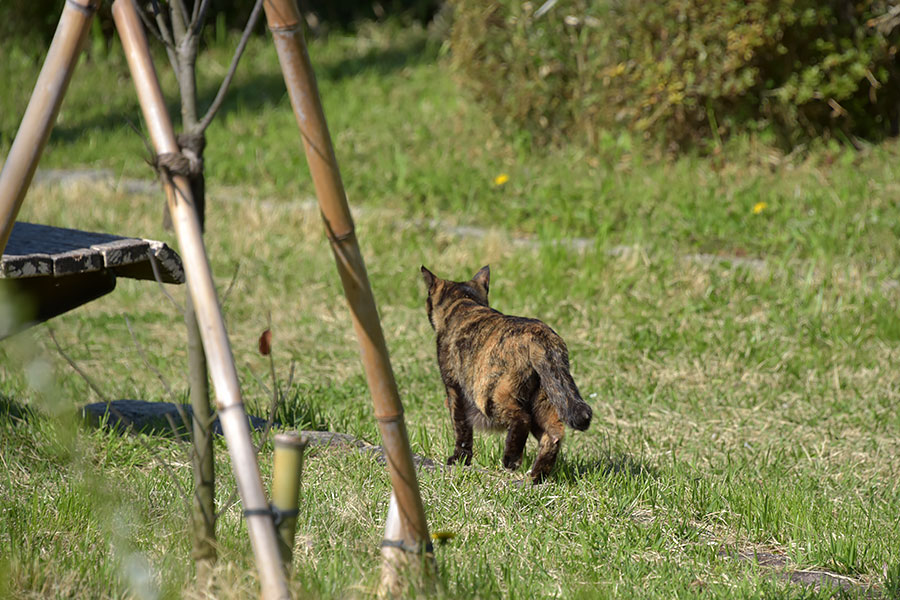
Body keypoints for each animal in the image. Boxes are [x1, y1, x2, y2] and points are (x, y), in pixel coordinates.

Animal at [420, 264, 592, 480]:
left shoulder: (454, 388)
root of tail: (540, 336)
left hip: (490, 396)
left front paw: (459, 459)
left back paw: (511, 460)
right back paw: (536, 476)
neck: (464, 302)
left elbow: (461, 428)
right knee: (554, 434)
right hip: (545, 397)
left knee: (522, 418)